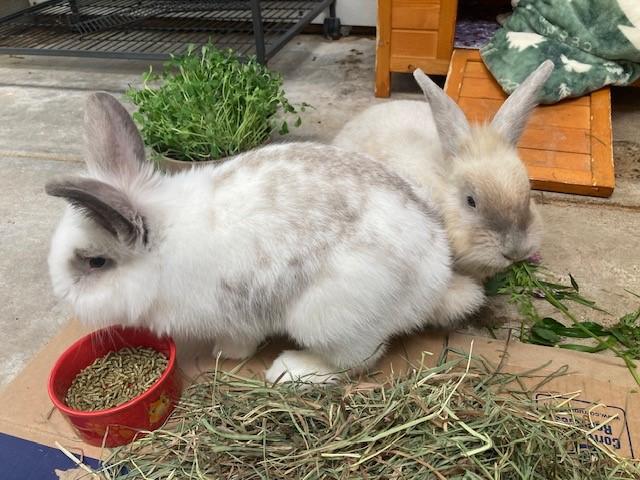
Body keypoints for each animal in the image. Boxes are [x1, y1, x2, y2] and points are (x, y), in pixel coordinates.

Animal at [45, 93, 486, 384]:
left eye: (95, 262)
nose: (62, 296)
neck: (162, 252)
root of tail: (435, 283)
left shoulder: (233, 313)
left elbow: (242, 340)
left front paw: (223, 354)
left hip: (327, 318)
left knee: (360, 360)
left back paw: (290, 371)